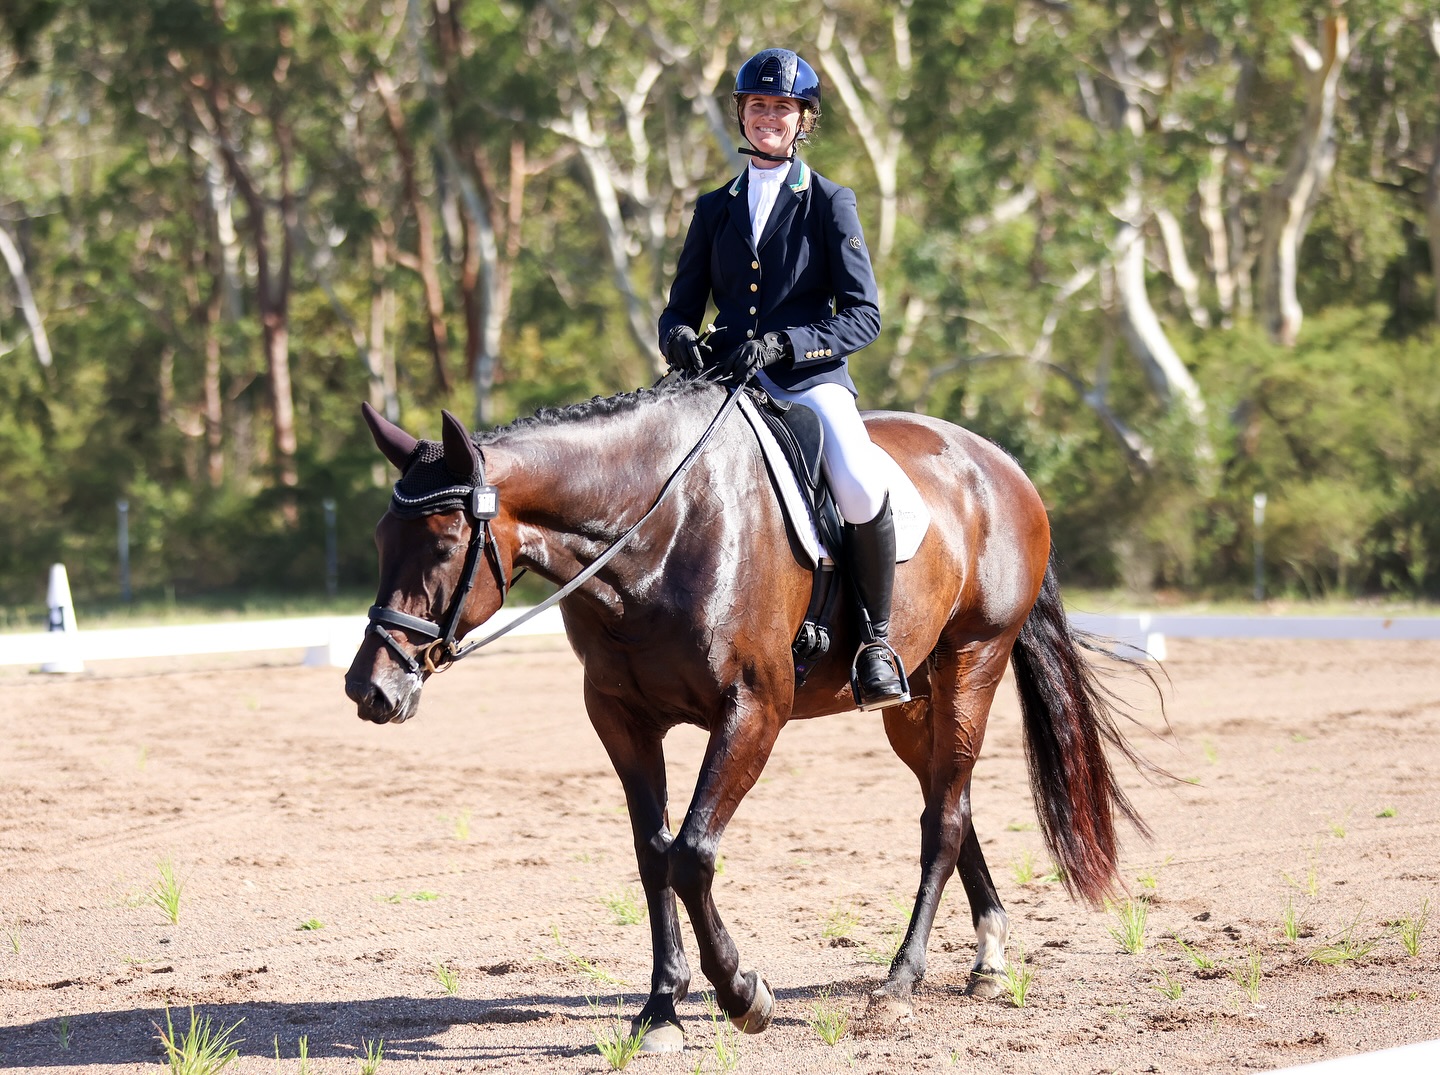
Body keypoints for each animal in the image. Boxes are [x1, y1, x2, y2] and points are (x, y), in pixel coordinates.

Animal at [344, 378, 1151, 1051]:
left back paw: (900, 983)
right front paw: (660, 1012)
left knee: (944, 818)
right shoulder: (620, 718)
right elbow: (653, 854)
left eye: (445, 543)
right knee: (952, 798)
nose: (369, 690)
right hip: (912, 696)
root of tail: (999, 463)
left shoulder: (753, 709)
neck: (659, 530)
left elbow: (692, 852)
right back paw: (987, 956)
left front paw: (742, 994)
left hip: (972, 662)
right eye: (379, 539)